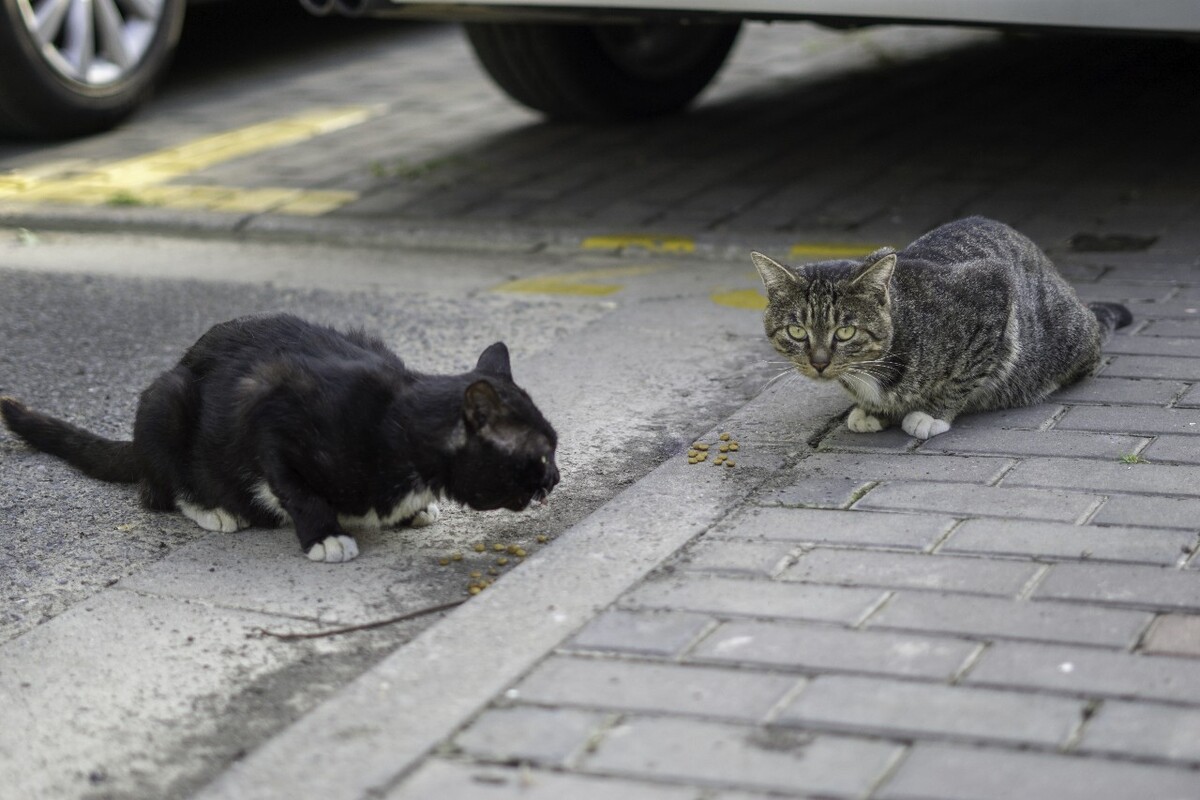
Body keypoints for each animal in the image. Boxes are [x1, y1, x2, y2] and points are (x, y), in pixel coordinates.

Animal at [0, 311, 561, 563]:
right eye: (541, 454)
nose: (555, 477)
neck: (397, 424)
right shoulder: (271, 410)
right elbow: (294, 486)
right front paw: (324, 534)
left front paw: (413, 510)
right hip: (168, 400)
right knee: (155, 492)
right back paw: (213, 508)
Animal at [753, 217, 1128, 438]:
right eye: (797, 331)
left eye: (845, 332)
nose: (819, 363)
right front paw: (873, 411)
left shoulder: (992, 289)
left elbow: (964, 375)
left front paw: (931, 415)